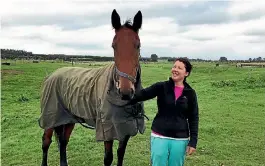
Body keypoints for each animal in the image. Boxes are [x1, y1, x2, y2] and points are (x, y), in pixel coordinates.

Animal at [38, 9, 144, 166]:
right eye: (114, 46)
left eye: (137, 45)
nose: (125, 91)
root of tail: (51, 75)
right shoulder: (107, 129)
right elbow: (108, 158)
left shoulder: (125, 129)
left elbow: (120, 153)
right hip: (50, 117)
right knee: (46, 141)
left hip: (69, 118)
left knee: (63, 141)